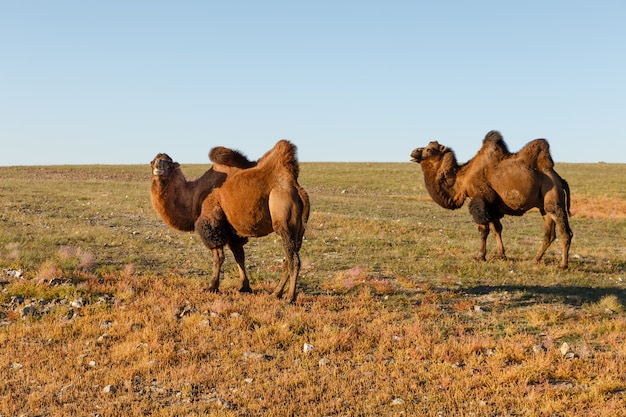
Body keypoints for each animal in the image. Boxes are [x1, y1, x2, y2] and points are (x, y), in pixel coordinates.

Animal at [150, 140, 308, 302]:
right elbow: (239, 256)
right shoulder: (231, 229)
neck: (194, 195)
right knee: (288, 259)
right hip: (298, 229)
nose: (158, 165)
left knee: (294, 260)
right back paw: (276, 293)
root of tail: (297, 188)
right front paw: (244, 287)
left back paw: (289, 297)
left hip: (283, 218)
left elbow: (218, 257)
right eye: (152, 161)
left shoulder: (211, 222)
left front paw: (211, 287)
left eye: (168, 162)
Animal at [410, 132, 572, 270]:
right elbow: (496, 229)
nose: (414, 152)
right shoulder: (492, 205)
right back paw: (536, 259)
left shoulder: (481, 200)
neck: (463, 178)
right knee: (549, 233)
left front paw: (480, 256)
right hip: (543, 206)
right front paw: (501, 255)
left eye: (429, 149)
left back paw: (563, 265)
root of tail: (559, 179)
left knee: (565, 232)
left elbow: (483, 230)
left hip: (553, 200)